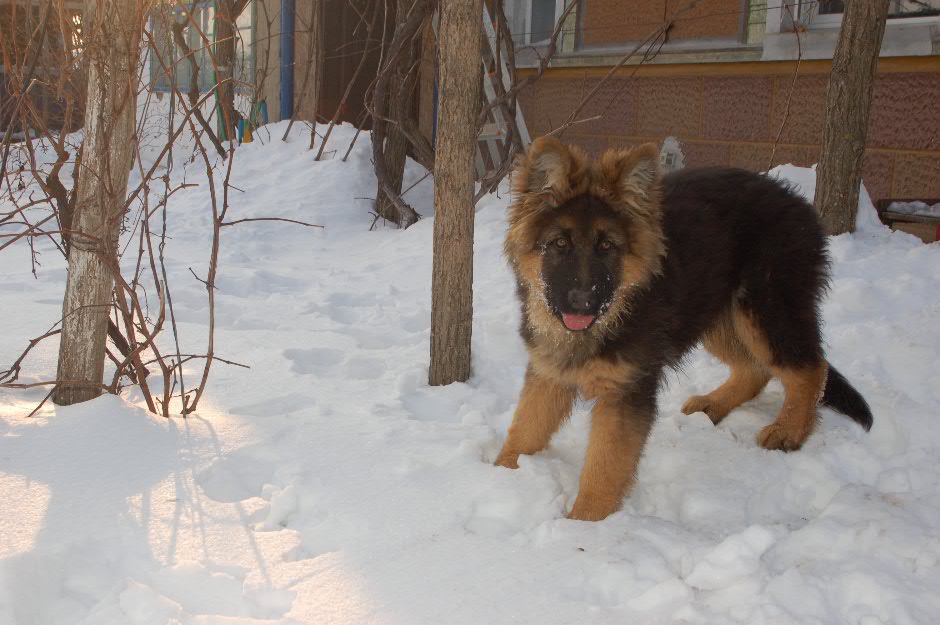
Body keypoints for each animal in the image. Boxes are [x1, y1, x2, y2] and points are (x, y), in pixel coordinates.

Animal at [496, 138, 872, 520]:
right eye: (560, 244)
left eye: (607, 246)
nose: (582, 302)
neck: (613, 313)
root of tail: (797, 201)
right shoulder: (548, 371)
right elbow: (526, 428)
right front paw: (501, 475)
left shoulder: (627, 391)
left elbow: (604, 466)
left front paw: (584, 523)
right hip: (715, 314)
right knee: (756, 368)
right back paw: (714, 405)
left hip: (766, 310)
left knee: (810, 368)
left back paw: (789, 431)